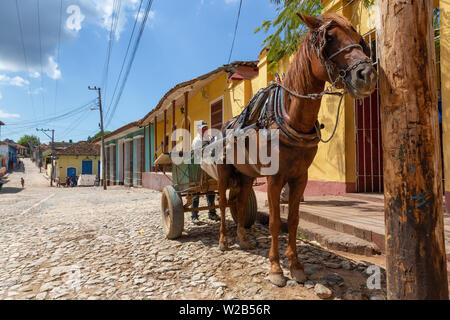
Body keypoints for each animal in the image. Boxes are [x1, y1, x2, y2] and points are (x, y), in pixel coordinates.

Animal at [216, 13, 378, 288]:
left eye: (358, 38)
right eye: (329, 39)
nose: (366, 75)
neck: (291, 118)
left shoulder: (300, 177)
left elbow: (292, 220)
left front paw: (296, 266)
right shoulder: (274, 178)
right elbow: (274, 222)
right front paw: (275, 268)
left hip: (246, 174)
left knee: (239, 202)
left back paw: (244, 239)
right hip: (223, 173)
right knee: (222, 202)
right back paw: (223, 241)